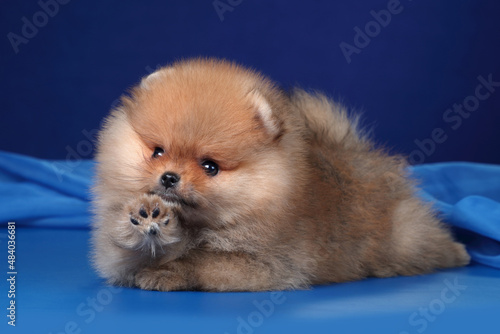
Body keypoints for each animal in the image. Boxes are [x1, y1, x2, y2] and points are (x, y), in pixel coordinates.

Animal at [92, 57, 470, 290]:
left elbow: (201, 262)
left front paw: (169, 269)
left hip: (405, 237)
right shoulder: (115, 259)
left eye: (210, 166)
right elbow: (127, 250)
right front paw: (146, 216)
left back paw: (456, 252)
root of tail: (357, 153)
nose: (170, 177)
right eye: (157, 151)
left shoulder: (267, 265)